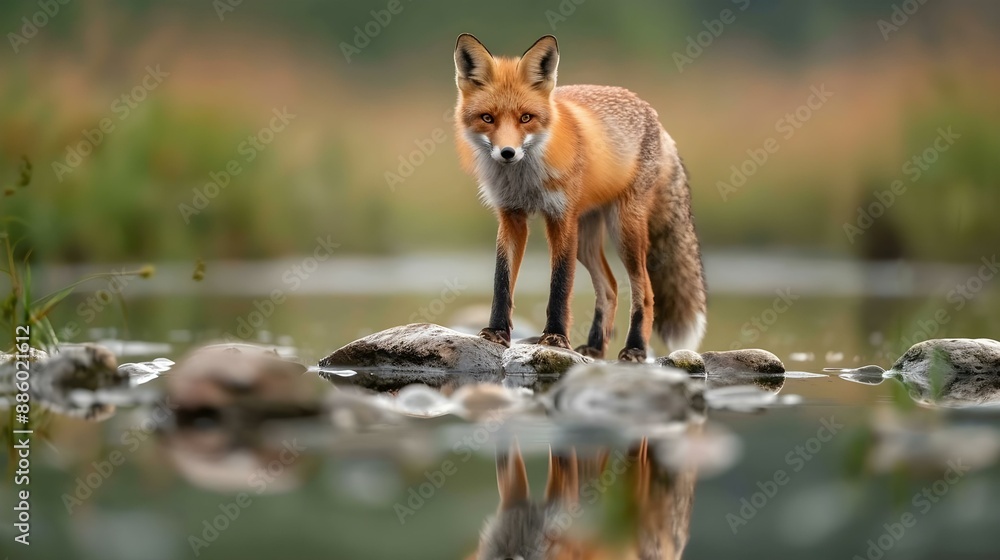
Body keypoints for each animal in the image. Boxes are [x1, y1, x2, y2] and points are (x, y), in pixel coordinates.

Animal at [453, 34, 707, 362]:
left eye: (526, 118)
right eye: (487, 118)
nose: (507, 153)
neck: (526, 180)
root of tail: (655, 118)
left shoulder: (561, 218)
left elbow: (560, 285)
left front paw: (556, 338)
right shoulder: (511, 217)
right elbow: (502, 281)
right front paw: (496, 332)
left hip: (623, 230)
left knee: (645, 292)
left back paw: (635, 348)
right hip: (586, 240)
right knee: (610, 288)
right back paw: (596, 346)